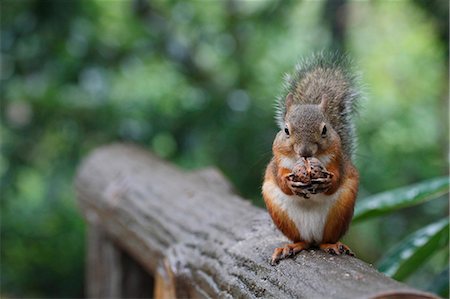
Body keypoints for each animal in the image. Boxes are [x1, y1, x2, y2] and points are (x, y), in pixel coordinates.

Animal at [262, 52, 360, 266]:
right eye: (286, 130)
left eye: (325, 129)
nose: (305, 152)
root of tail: (312, 236)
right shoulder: (277, 164)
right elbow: (281, 180)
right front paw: (291, 185)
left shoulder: (338, 161)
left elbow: (337, 178)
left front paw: (327, 181)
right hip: (282, 215)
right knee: (303, 242)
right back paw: (291, 246)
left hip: (339, 213)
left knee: (324, 240)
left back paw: (332, 245)